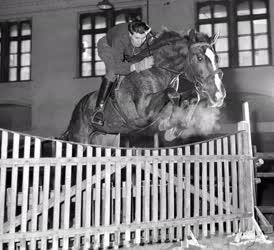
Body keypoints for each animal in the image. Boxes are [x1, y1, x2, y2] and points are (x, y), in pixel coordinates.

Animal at [62, 27, 227, 145]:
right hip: (80, 138)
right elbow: (171, 93)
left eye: (217, 58)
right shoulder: (141, 113)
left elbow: (193, 95)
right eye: (199, 58)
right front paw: (168, 125)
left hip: (106, 138)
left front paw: (174, 129)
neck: (157, 69)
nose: (219, 95)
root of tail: (79, 106)